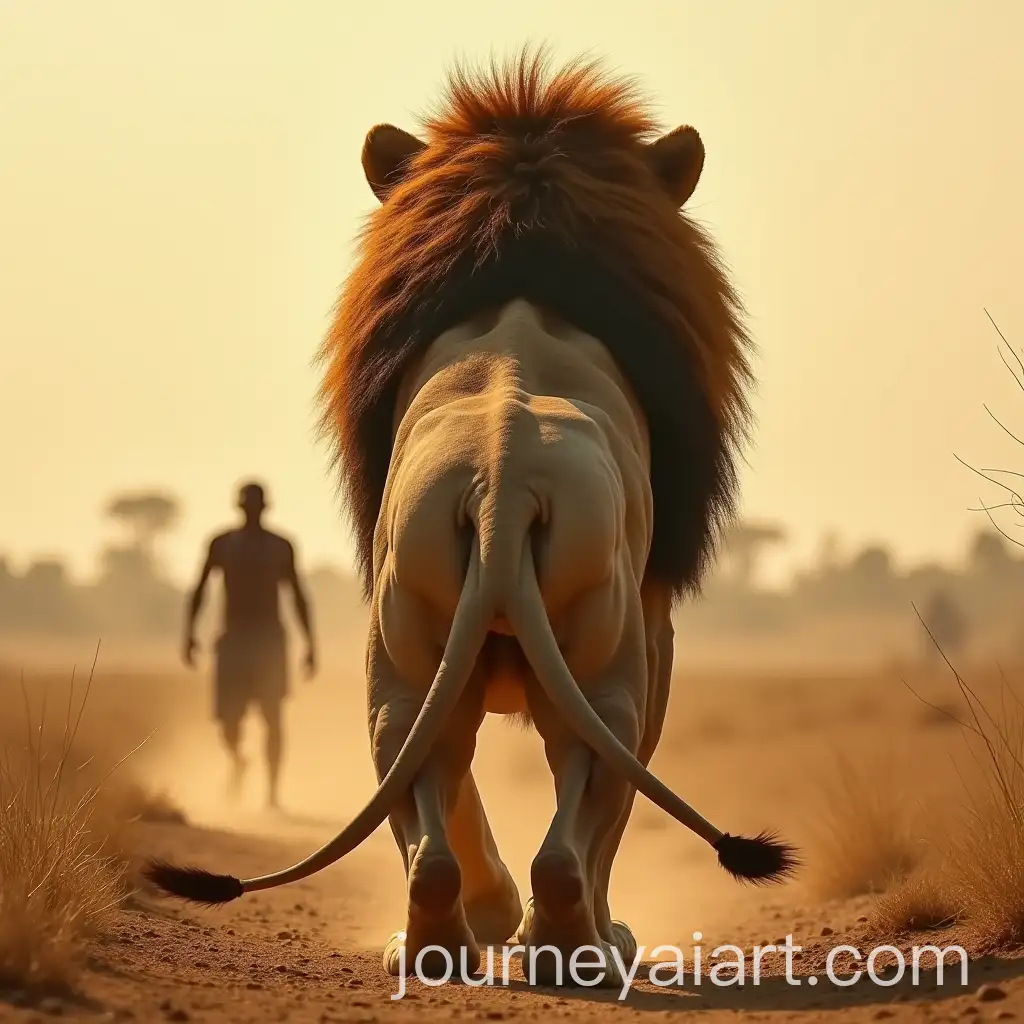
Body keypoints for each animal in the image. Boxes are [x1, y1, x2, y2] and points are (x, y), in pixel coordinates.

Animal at [143, 47, 799, 988]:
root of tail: (503, 480)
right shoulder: (657, 622)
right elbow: (610, 804)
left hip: (404, 651)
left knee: (432, 786)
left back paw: (442, 944)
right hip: (605, 656)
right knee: (580, 794)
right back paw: (571, 946)